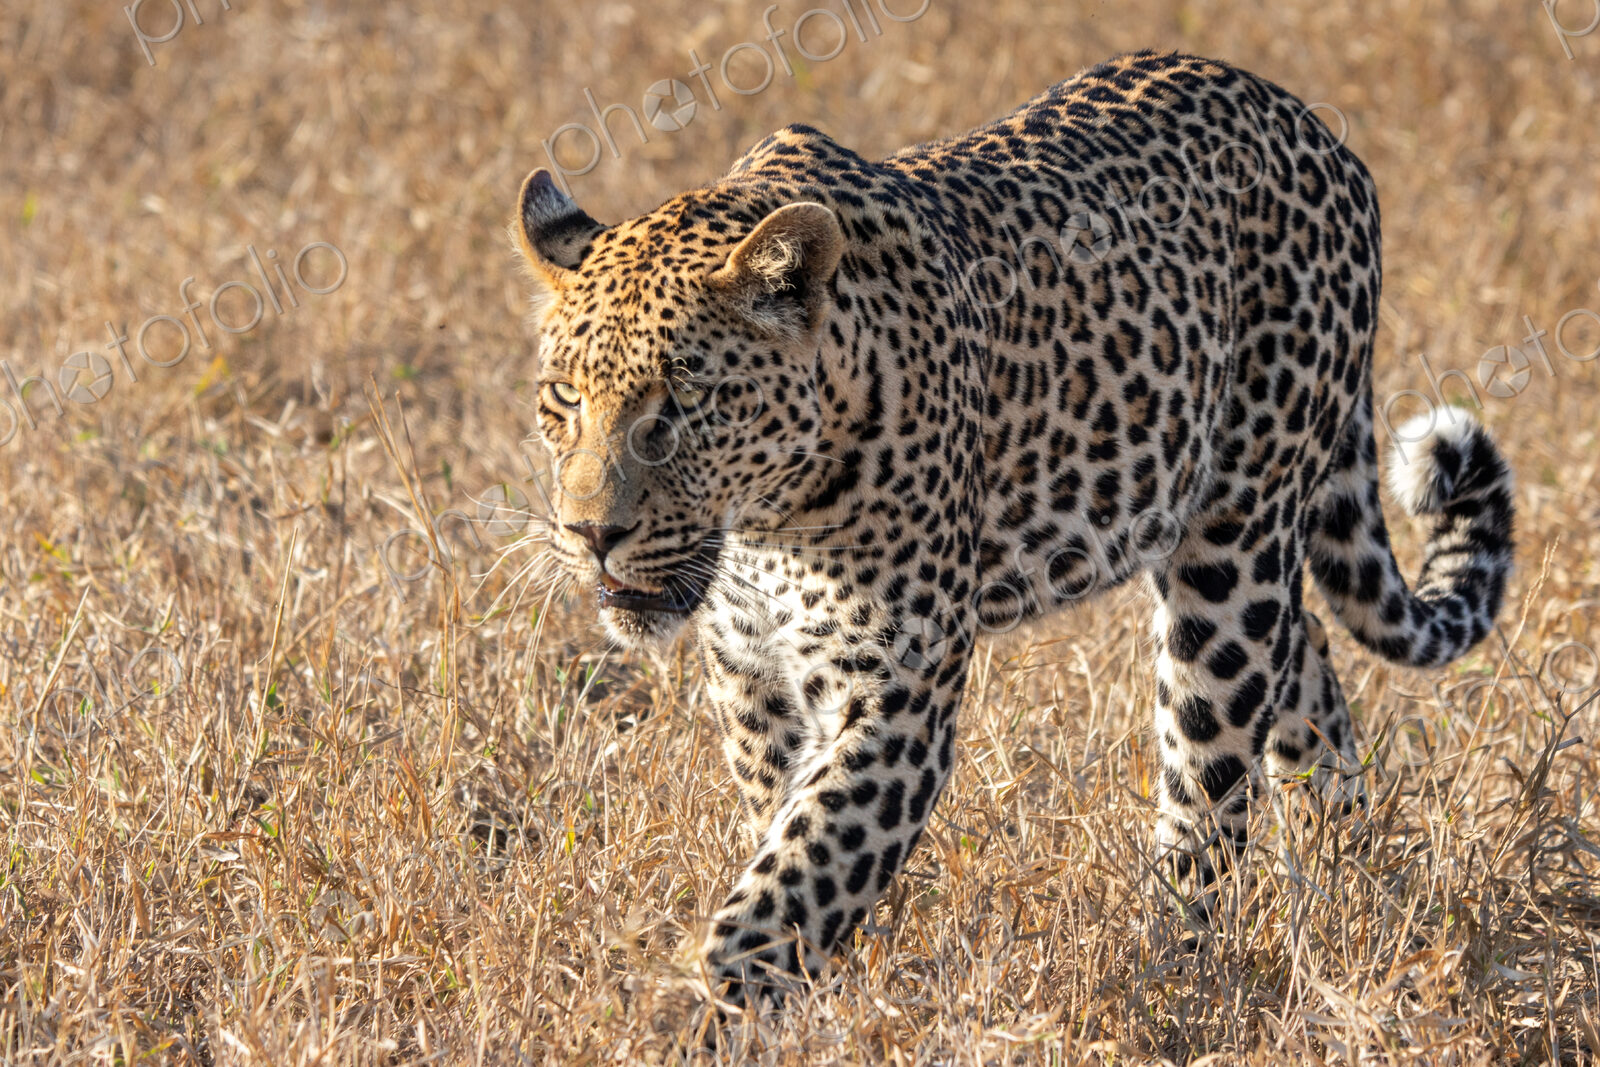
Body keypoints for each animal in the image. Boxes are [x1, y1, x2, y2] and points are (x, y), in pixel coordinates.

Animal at [509, 50, 1515, 1002]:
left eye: (684, 406)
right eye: (562, 398)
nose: (589, 534)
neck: (763, 532)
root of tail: (1314, 125)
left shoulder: (895, 681)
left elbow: (796, 877)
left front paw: (705, 1010)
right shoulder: (752, 678)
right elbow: (794, 841)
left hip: (1233, 551)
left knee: (1211, 782)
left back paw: (1178, 969)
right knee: (1307, 679)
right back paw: (1358, 882)